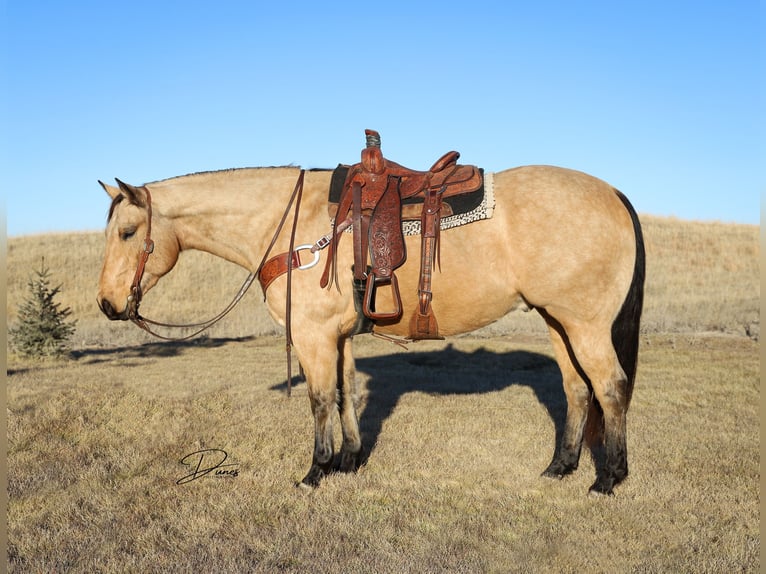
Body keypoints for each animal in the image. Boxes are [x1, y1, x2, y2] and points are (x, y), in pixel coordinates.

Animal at [97, 133, 648, 498]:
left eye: (127, 232)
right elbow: (345, 394)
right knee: (577, 390)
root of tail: (614, 194)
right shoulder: (337, 337)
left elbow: (320, 400)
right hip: (559, 322)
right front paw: (350, 460)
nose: (107, 303)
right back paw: (561, 467)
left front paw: (316, 472)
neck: (290, 224)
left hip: (586, 325)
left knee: (610, 388)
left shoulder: (314, 335)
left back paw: (608, 478)